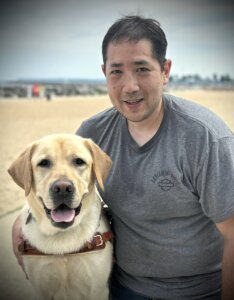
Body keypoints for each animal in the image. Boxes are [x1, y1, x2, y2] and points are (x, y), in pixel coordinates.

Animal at [8, 134, 112, 300]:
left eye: (79, 161)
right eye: (44, 163)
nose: (62, 188)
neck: (62, 239)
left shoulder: (97, 289)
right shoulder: (42, 289)